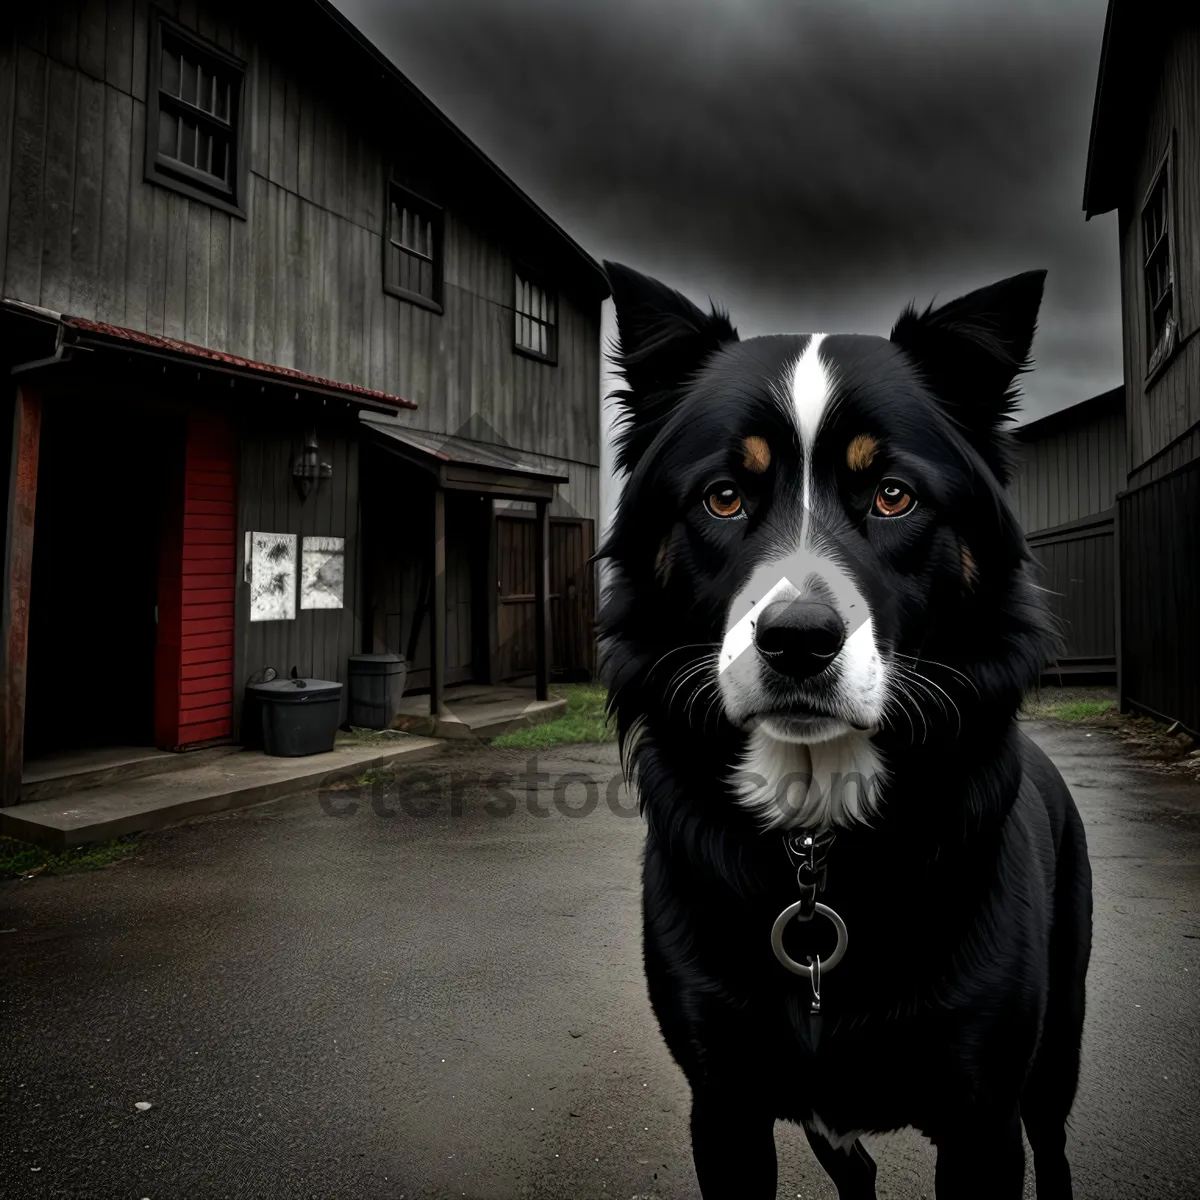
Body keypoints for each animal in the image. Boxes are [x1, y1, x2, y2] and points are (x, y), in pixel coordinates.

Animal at [597, 265, 1089, 1200]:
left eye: (893, 495)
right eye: (724, 496)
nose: (797, 641)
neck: (815, 845)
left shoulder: (984, 1118)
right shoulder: (723, 1103)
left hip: (1057, 1051)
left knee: (1055, 1143)